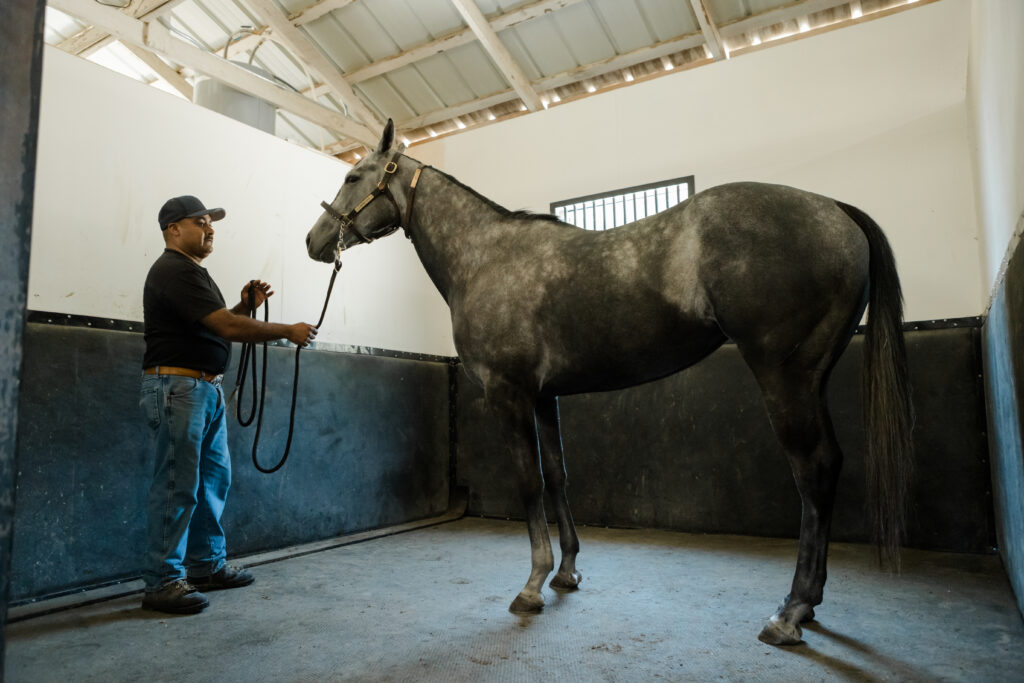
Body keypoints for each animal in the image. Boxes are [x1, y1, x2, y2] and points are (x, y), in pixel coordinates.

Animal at [305, 120, 913, 646]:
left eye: (353, 175)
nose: (314, 241)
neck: (484, 259)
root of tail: (833, 209)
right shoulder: (544, 396)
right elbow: (557, 477)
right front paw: (567, 572)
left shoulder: (509, 395)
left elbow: (528, 483)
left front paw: (532, 585)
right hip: (811, 377)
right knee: (828, 466)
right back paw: (806, 607)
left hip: (783, 377)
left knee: (813, 472)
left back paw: (790, 612)